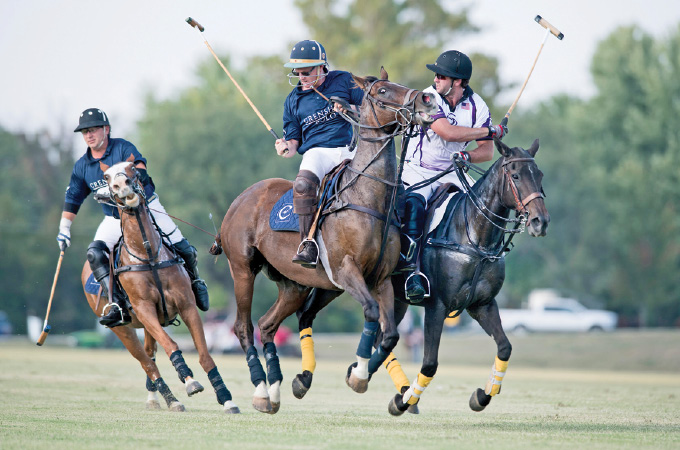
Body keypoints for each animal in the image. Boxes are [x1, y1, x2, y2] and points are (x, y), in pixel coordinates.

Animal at [81, 160, 239, 414]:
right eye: (106, 177)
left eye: (134, 169)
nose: (122, 185)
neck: (147, 255)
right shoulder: (144, 309)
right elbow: (171, 344)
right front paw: (189, 380)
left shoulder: (187, 306)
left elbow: (205, 354)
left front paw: (226, 399)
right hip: (123, 328)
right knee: (147, 362)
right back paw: (172, 399)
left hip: (146, 325)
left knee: (150, 354)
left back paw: (156, 397)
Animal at [211, 67, 438, 413]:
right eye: (383, 91)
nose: (427, 98)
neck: (367, 198)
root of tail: (241, 198)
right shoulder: (346, 270)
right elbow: (371, 312)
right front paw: (358, 375)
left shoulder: (381, 279)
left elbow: (390, 335)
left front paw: (360, 375)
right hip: (242, 268)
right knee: (243, 327)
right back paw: (262, 390)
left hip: (295, 284)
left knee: (267, 324)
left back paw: (275, 391)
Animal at [382, 137, 550, 415]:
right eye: (515, 175)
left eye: (539, 175)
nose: (541, 221)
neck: (475, 238)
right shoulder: (437, 306)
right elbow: (429, 363)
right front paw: (403, 402)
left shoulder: (482, 304)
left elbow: (505, 347)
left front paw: (482, 396)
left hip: (396, 301)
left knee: (383, 337)